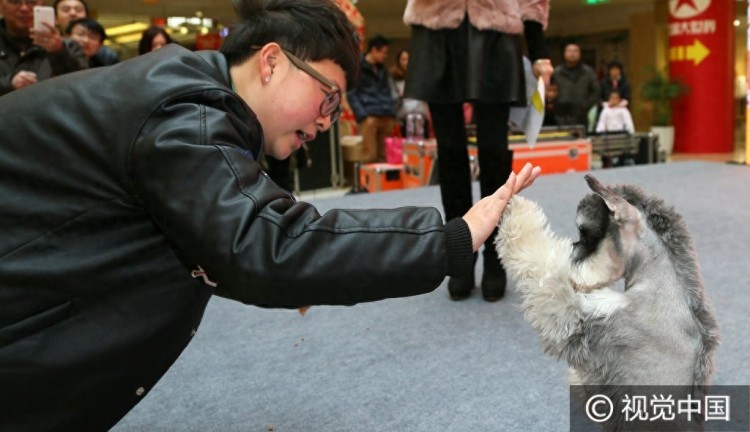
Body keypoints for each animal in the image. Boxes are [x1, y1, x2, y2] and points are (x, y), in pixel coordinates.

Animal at [496, 175, 720, 428]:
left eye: (586, 233)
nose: (571, 254)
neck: (657, 286)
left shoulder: (576, 321)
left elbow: (544, 267)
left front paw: (516, 209)